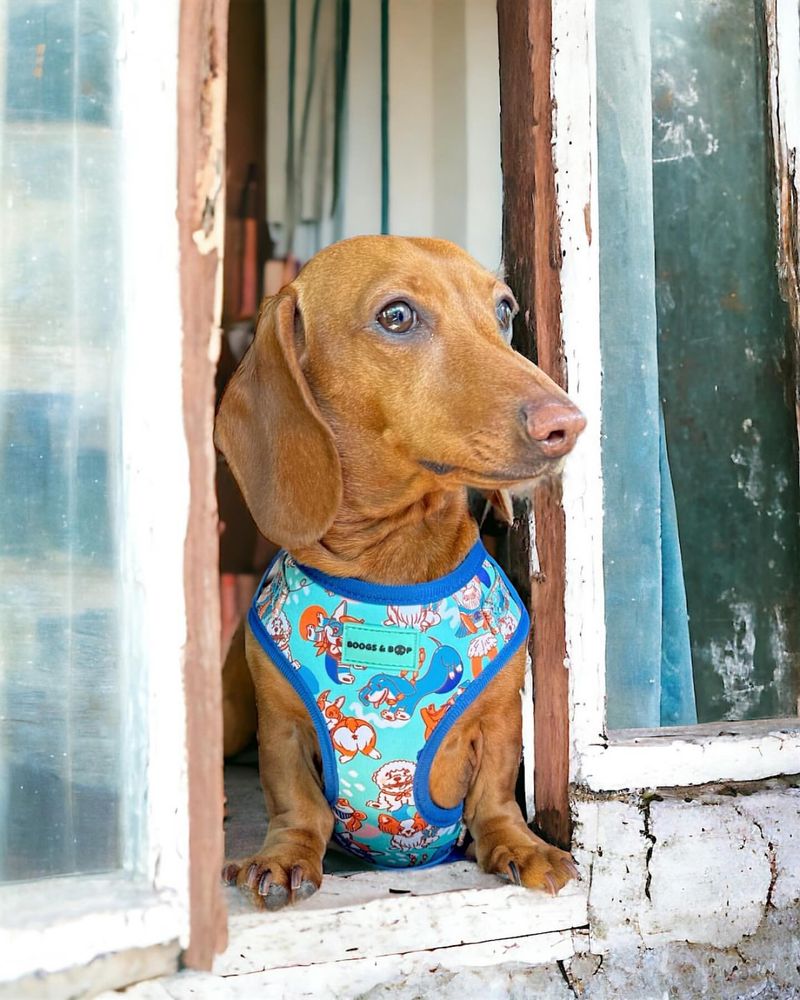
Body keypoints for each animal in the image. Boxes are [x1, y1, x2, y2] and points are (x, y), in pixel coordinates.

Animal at [216, 238, 584, 912]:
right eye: (396, 316)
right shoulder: (281, 727)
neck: (391, 567)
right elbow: (296, 801)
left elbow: (495, 794)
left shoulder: (499, 719)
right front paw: (283, 856)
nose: (567, 425)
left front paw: (518, 844)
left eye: (505, 309)